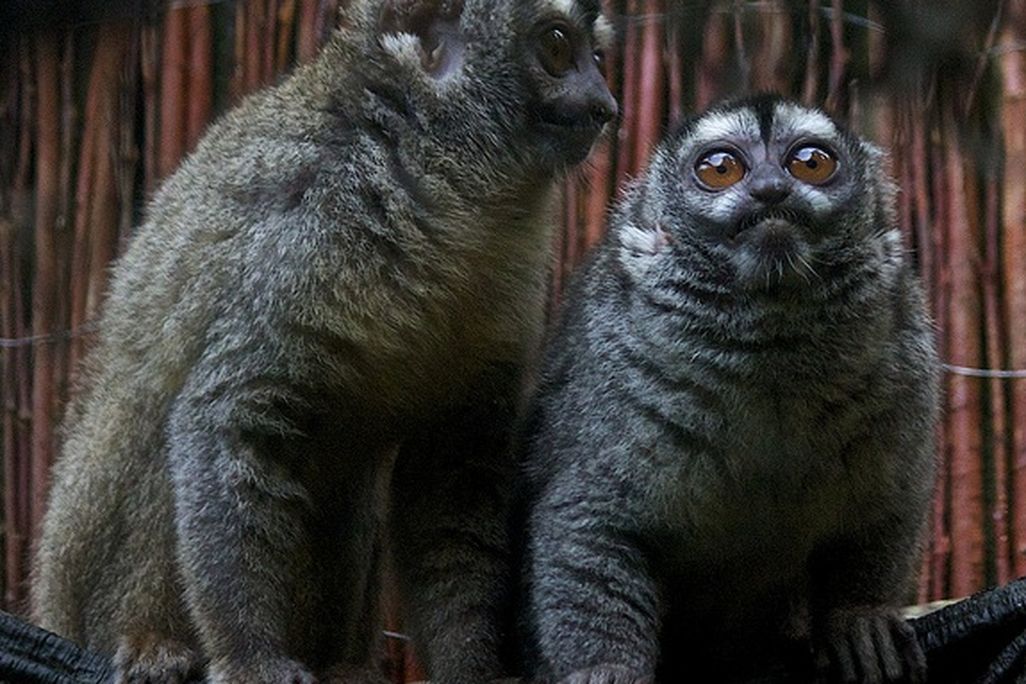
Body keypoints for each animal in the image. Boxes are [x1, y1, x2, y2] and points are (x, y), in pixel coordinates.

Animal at [30, 1, 617, 682]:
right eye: (557, 48)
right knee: (156, 417)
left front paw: (474, 669)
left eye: (598, 58)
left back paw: (343, 664)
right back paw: (152, 643)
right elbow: (226, 415)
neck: (443, 190)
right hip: (77, 579)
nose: (606, 104)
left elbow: (453, 467)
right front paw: (249, 656)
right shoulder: (309, 229)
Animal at [516, 94, 939, 684]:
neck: (771, 344)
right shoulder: (615, 384)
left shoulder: (902, 363)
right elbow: (588, 523)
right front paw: (608, 667)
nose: (771, 189)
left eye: (810, 161)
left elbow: (888, 505)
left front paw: (862, 621)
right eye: (720, 168)